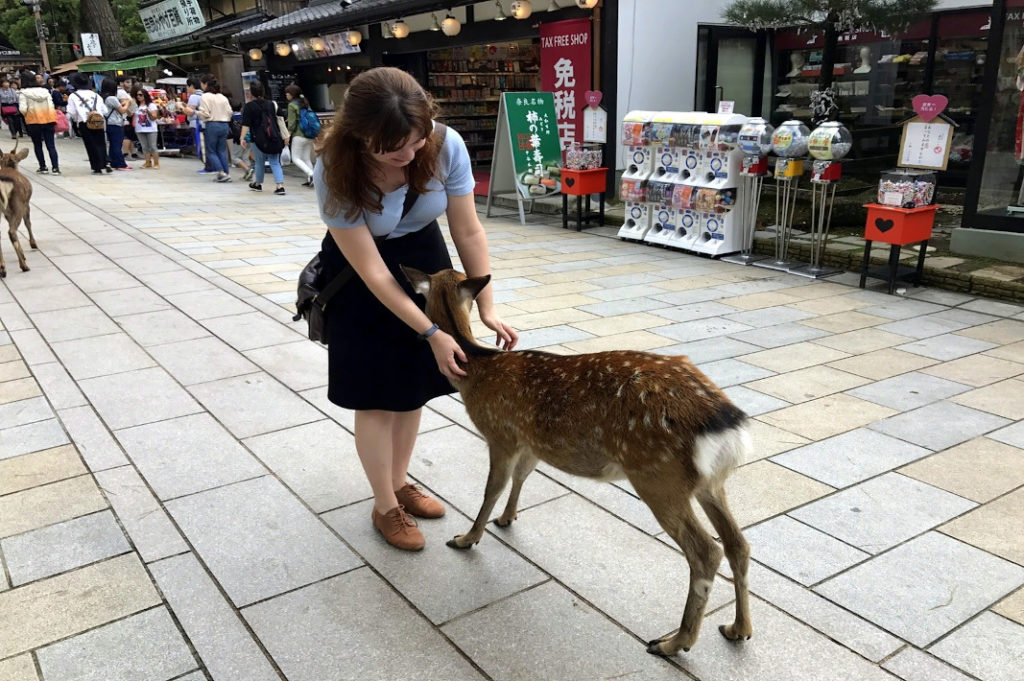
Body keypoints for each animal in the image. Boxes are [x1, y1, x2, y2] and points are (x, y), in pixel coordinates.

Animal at [0, 140, 36, 278]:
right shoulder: (26, 204)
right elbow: (28, 223)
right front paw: (33, 244)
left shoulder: (7, 213)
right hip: (18, 204)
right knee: (12, 231)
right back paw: (23, 266)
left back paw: (3, 269)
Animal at [403, 266, 757, 655]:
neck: (477, 369)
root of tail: (725, 422)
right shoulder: (531, 442)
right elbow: (522, 477)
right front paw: (508, 518)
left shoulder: (501, 434)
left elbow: (492, 488)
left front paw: (467, 538)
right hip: (709, 482)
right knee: (738, 544)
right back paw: (738, 628)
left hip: (658, 477)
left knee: (706, 551)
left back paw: (673, 642)